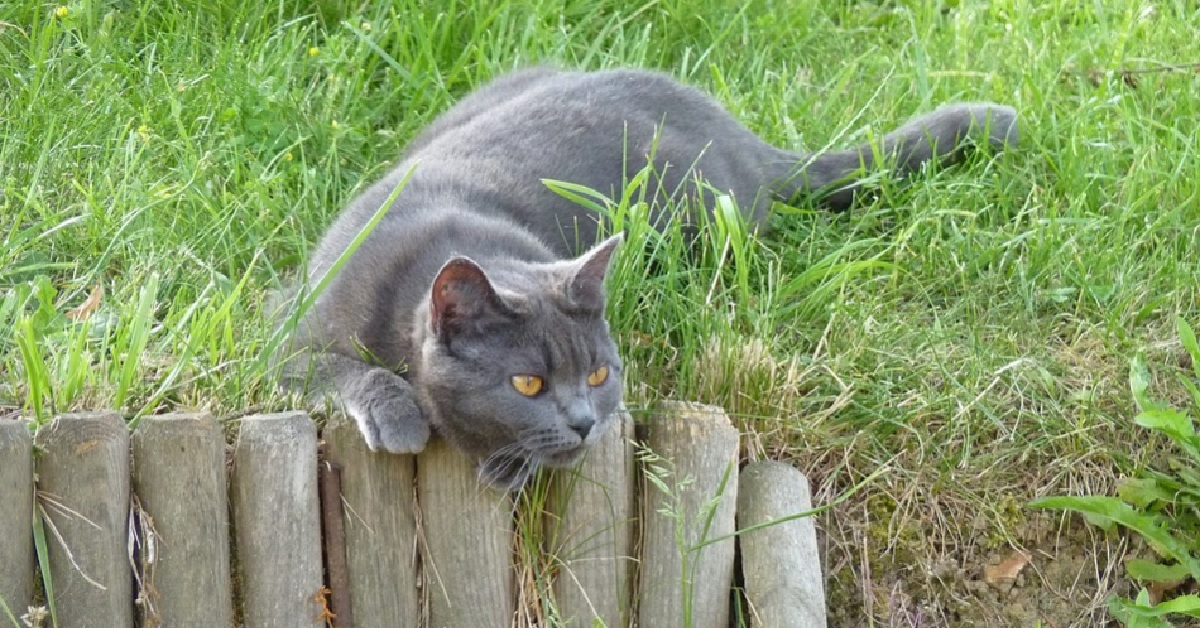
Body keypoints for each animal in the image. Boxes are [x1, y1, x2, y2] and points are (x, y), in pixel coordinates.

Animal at [276, 66, 1017, 489]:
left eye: (600, 374)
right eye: (528, 383)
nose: (584, 423)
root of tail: (743, 137)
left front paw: (506, 467)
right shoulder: (282, 332)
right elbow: (335, 367)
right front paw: (399, 413)